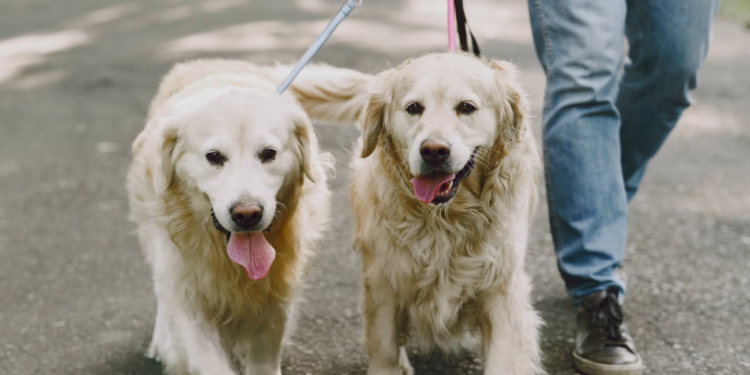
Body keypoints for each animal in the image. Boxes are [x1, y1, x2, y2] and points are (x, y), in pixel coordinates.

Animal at [350, 53, 544, 375]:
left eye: (466, 107)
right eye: (414, 108)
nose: (433, 151)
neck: (446, 219)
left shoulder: (503, 290)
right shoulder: (382, 284)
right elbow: (385, 351)